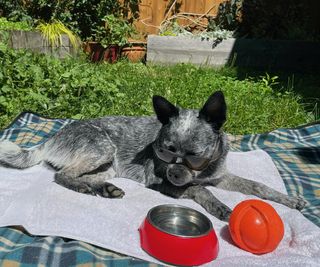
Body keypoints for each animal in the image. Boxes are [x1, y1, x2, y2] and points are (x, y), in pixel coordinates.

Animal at [0, 91, 304, 221]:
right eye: (164, 151)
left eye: (195, 156)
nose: (173, 173)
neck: (202, 171)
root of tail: (51, 138)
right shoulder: (161, 182)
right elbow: (200, 190)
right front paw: (218, 207)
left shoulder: (220, 177)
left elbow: (257, 186)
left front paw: (289, 200)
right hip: (102, 148)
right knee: (63, 175)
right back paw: (84, 188)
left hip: (108, 165)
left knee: (88, 176)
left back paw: (105, 189)